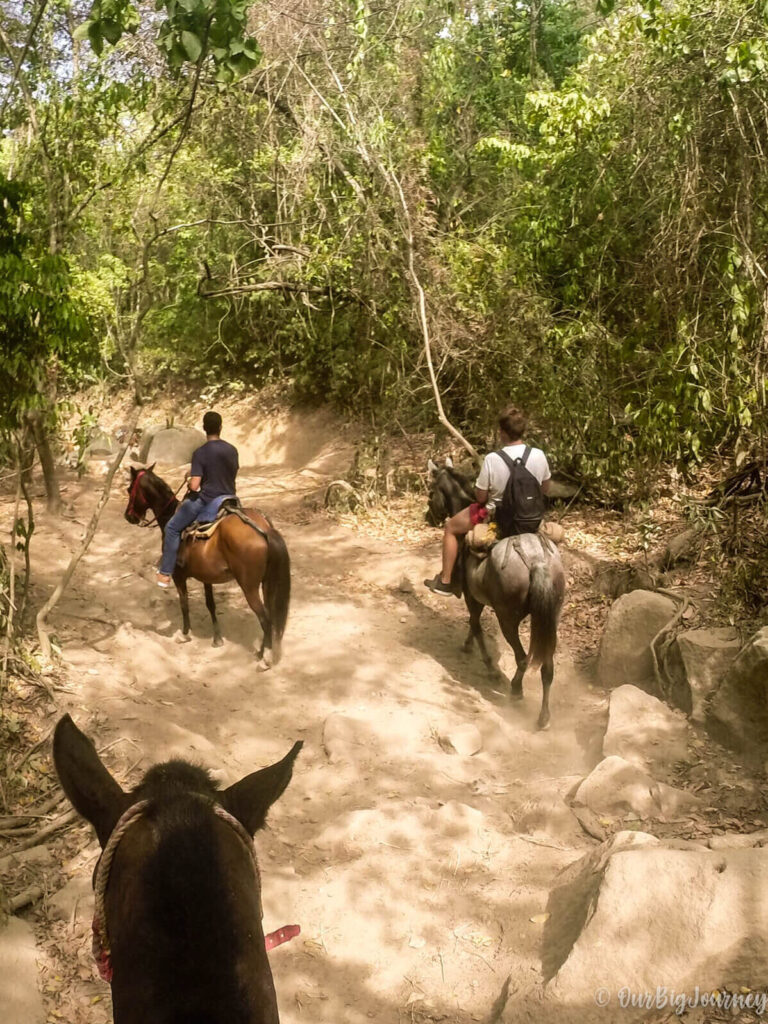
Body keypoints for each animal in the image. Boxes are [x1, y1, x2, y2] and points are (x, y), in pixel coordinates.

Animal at [124, 466, 290, 671]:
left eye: (129, 489)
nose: (128, 516)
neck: (169, 516)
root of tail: (264, 529)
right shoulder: (206, 577)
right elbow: (210, 604)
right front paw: (217, 639)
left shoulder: (179, 576)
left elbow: (184, 604)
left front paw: (185, 634)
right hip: (266, 584)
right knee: (270, 617)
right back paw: (260, 652)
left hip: (249, 587)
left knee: (265, 619)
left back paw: (265, 660)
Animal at [428, 456, 565, 729]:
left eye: (431, 492)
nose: (428, 517)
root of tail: (536, 560)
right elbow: (474, 625)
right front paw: (469, 646)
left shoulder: (472, 597)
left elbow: (475, 624)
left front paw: (489, 666)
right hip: (550, 617)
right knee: (547, 667)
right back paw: (543, 716)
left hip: (507, 618)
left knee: (522, 658)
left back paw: (515, 690)